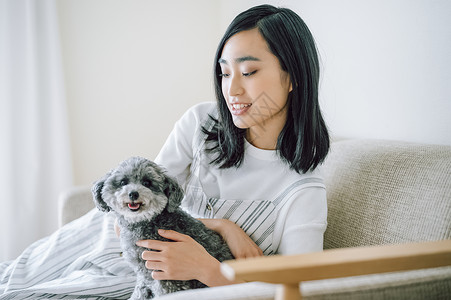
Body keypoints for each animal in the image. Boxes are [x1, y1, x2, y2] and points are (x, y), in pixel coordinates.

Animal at [91, 158, 233, 298]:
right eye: (123, 182)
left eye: (147, 183)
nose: (133, 194)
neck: (149, 222)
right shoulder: (145, 273)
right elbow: (140, 289)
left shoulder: (167, 277)